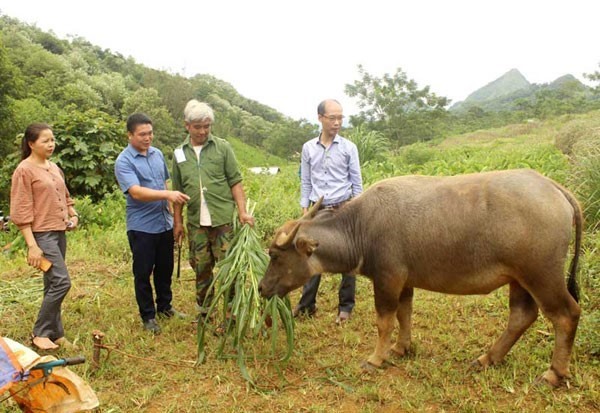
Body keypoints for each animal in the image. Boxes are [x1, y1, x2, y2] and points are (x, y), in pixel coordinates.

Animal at [258, 168, 580, 386]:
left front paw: (376, 358)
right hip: (519, 279)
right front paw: (402, 347)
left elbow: (384, 321)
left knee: (566, 314)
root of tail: (553, 188)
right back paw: (487, 358)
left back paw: (553, 373)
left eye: (275, 256)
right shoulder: (405, 282)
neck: (360, 227)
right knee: (522, 316)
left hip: (541, 276)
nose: (261, 288)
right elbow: (405, 314)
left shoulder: (387, 280)